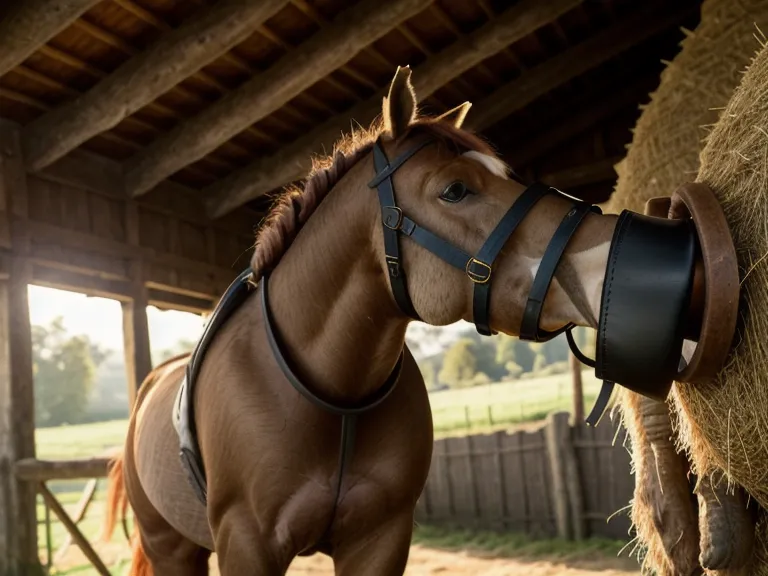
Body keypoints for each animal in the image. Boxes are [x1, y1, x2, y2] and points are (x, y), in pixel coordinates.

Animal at [102, 66, 619, 575]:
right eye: (455, 189)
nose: (599, 249)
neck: (334, 395)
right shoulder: (247, 546)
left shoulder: (380, 538)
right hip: (170, 546)